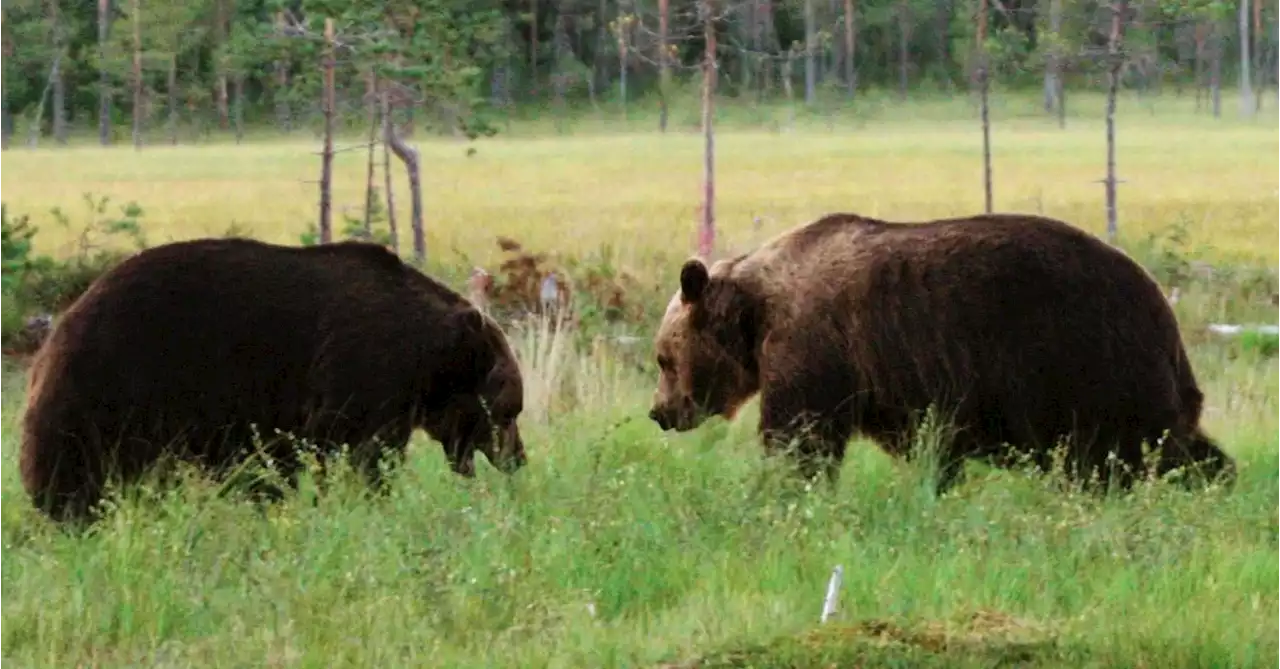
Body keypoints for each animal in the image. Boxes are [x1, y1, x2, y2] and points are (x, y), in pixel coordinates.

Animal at [16, 237, 524, 527]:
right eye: (509, 410)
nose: (518, 459)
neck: (425, 360)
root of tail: (62, 325)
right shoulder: (361, 371)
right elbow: (359, 451)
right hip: (116, 386)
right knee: (77, 463)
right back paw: (66, 511)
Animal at [650, 212, 1239, 493]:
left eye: (661, 358)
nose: (659, 412)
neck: (756, 312)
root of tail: (1162, 311)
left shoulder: (814, 348)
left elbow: (800, 436)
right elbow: (925, 443)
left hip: (1082, 361)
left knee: (1119, 452)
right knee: (1179, 444)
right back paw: (1218, 479)